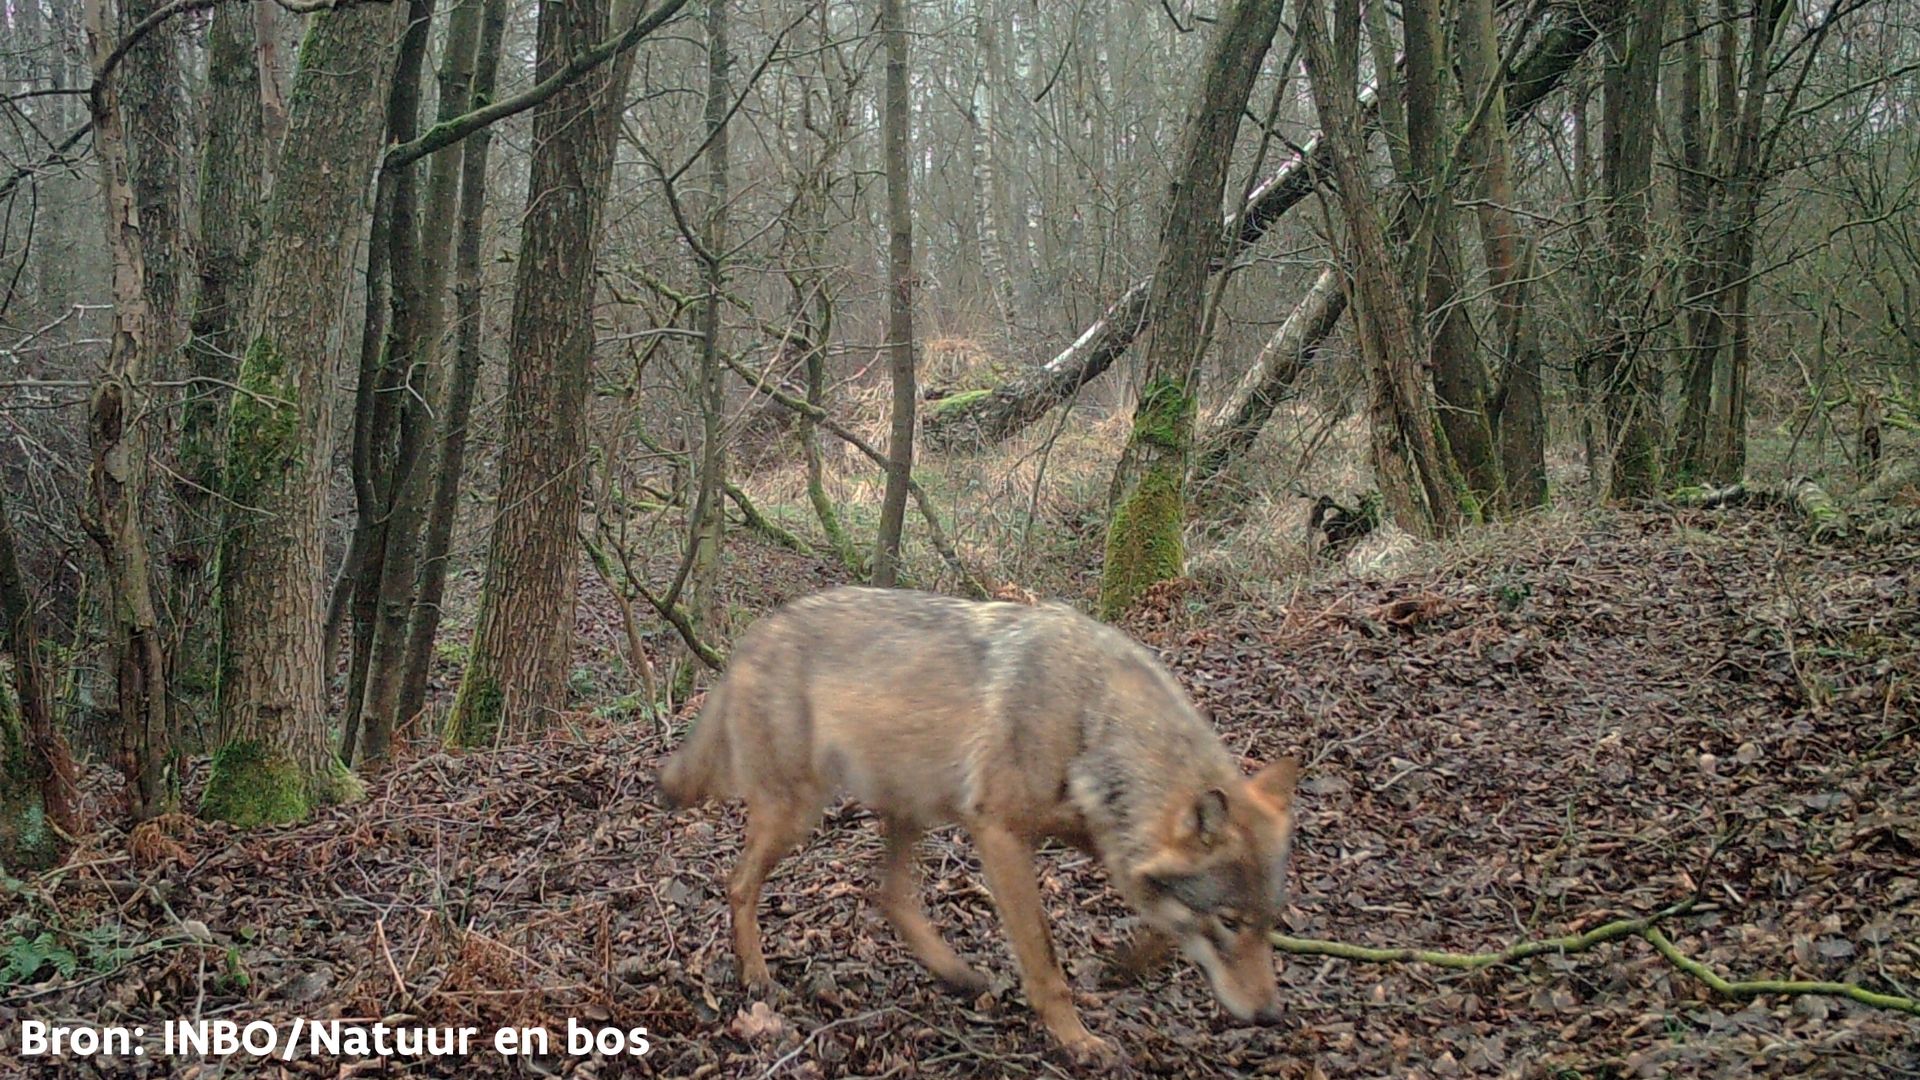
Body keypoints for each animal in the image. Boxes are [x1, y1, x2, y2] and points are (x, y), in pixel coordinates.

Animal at [652, 584, 1297, 1053]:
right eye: (1230, 923)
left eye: (1269, 923)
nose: (1269, 1016)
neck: (1092, 717)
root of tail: (752, 636)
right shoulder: (1001, 834)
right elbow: (1044, 959)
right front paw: (1078, 1042)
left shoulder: (1097, 838)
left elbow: (1157, 920)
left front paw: (1124, 964)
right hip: (801, 812)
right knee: (739, 883)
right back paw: (757, 976)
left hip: (907, 808)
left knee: (888, 897)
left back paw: (957, 975)